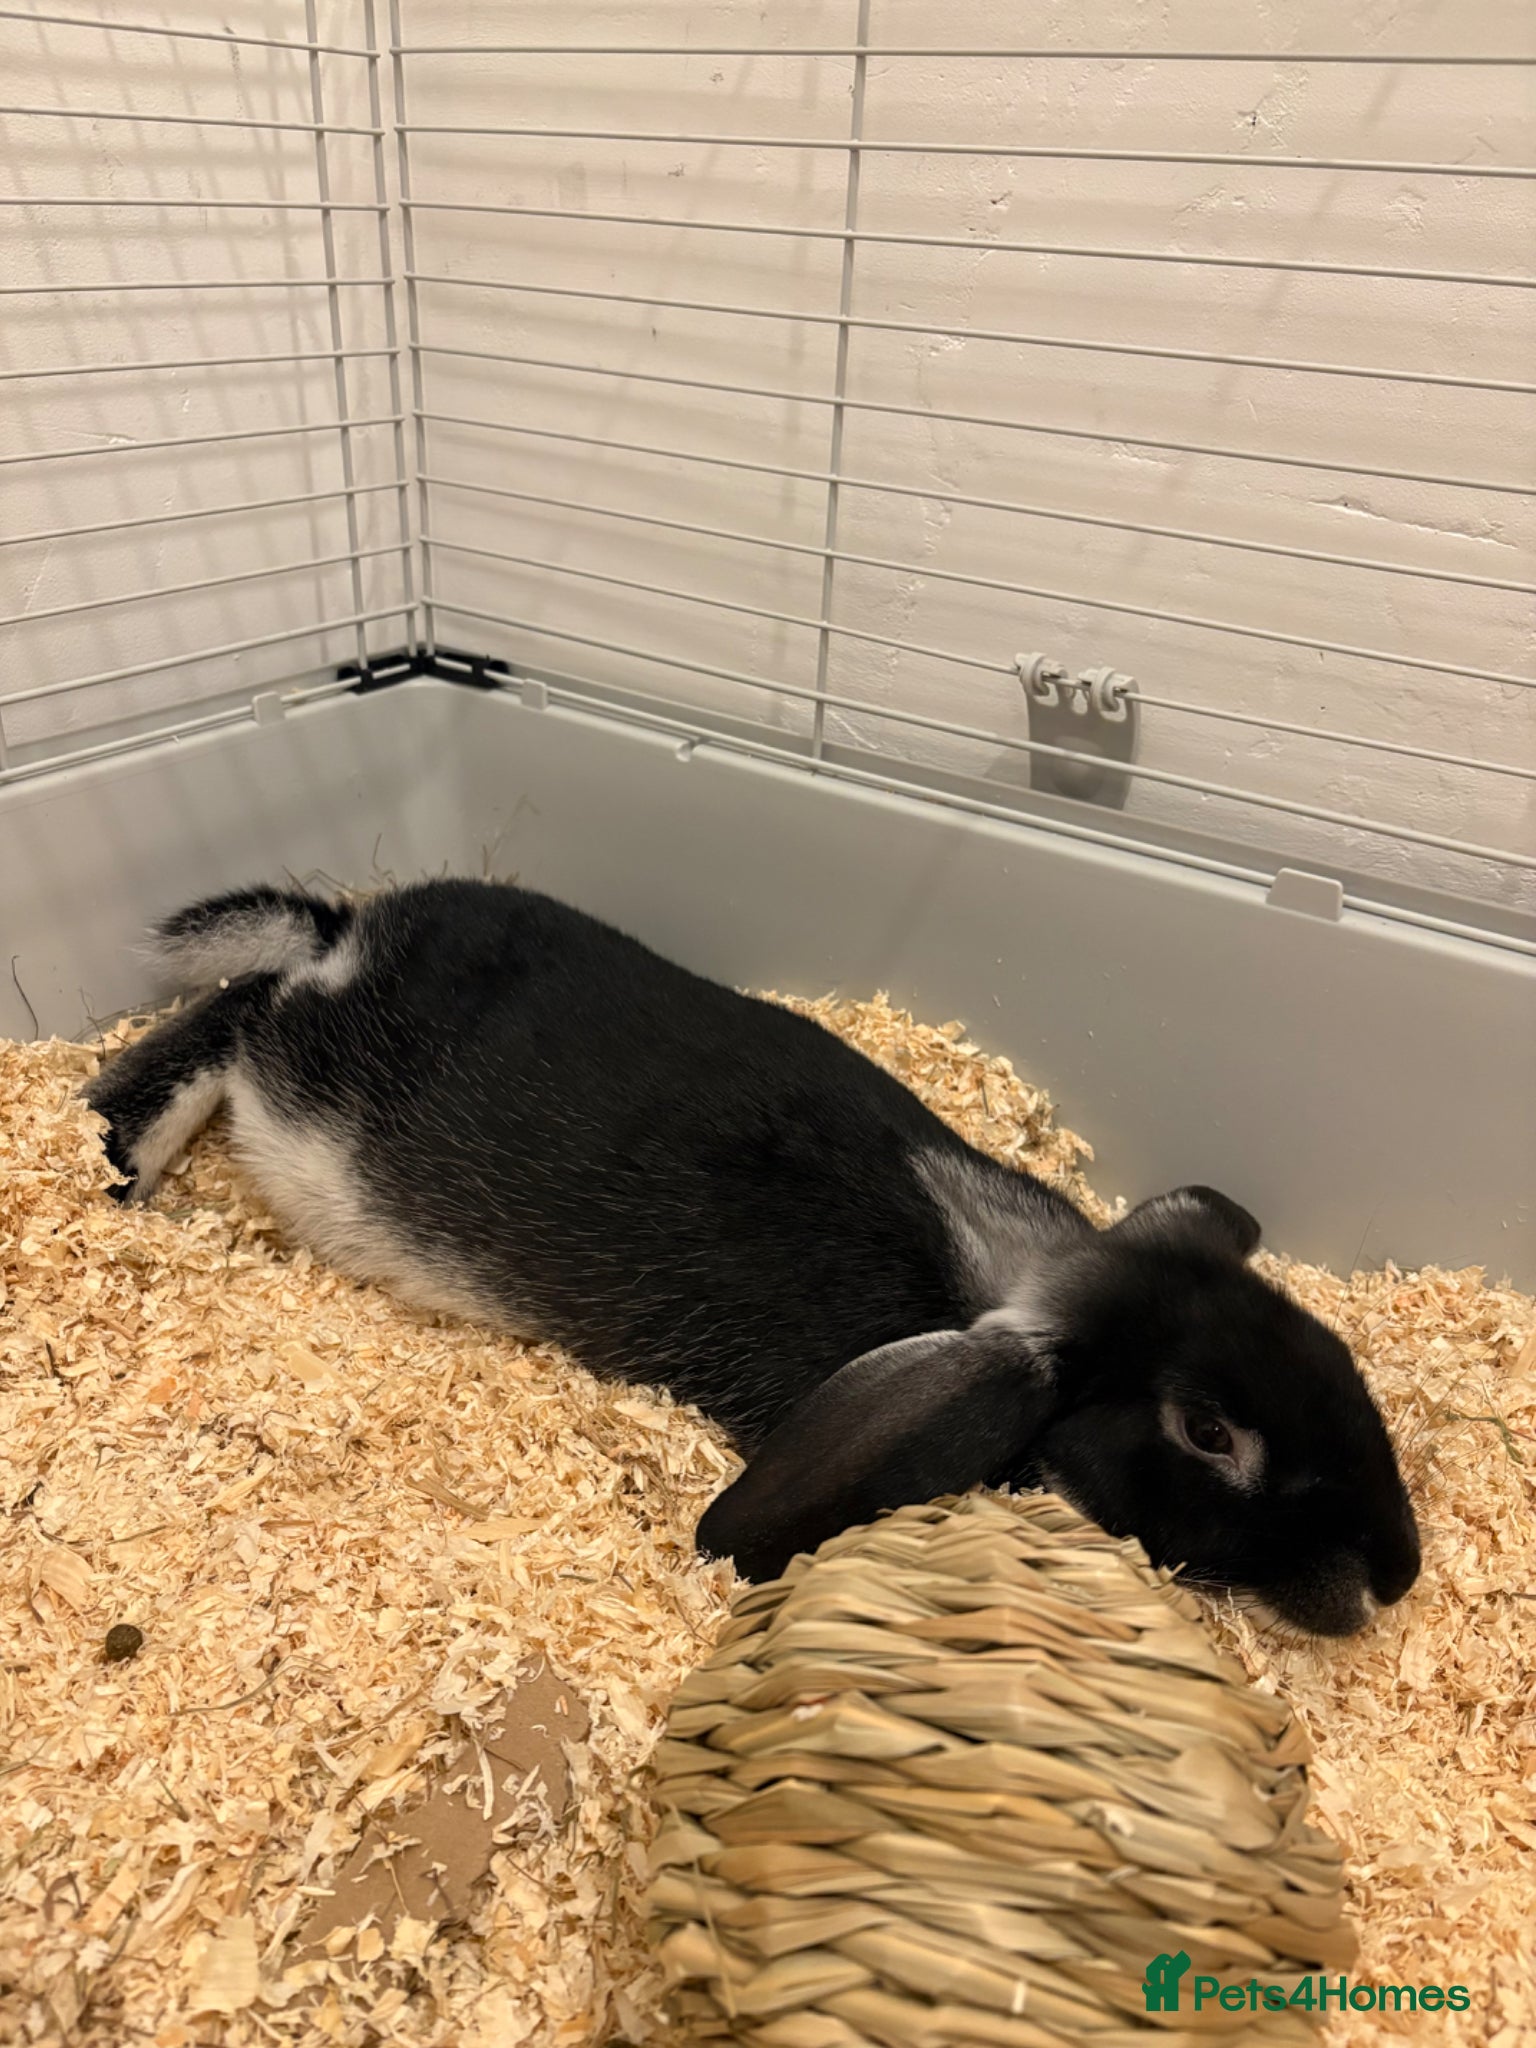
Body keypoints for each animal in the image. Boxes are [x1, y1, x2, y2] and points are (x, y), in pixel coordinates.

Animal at [85, 876, 1420, 1635]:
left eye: (1330, 1350)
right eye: (1209, 1431)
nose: (1398, 1573)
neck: (1008, 1277)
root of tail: (349, 937)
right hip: (299, 1102)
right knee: (233, 1017)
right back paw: (115, 1156)